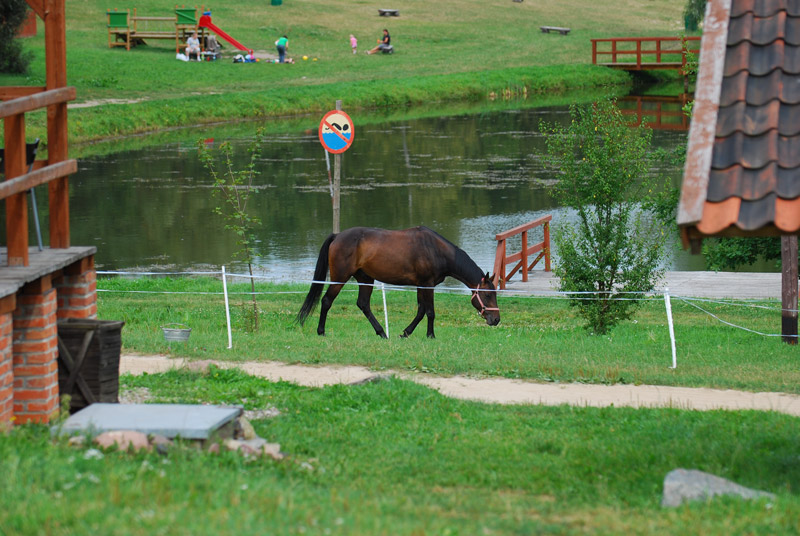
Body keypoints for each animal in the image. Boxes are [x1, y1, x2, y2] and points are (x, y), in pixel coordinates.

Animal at [296, 227, 496, 340]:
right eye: (487, 295)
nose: (496, 319)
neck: (435, 249)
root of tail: (337, 236)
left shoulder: (420, 285)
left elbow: (421, 311)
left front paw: (406, 333)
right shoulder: (427, 284)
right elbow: (430, 312)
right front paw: (430, 335)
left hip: (366, 279)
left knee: (363, 304)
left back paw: (382, 333)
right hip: (340, 277)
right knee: (326, 301)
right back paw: (321, 331)